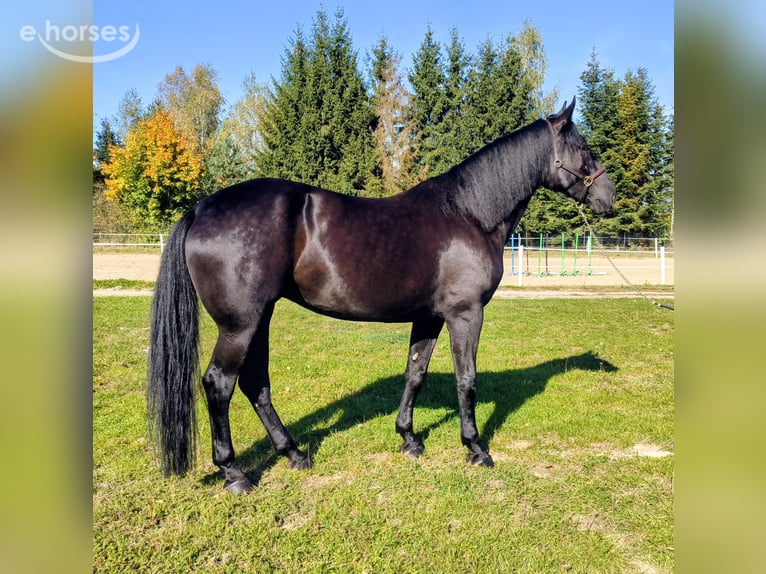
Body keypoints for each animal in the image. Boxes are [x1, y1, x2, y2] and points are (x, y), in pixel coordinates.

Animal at [147, 98, 615, 494]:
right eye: (582, 147)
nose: (608, 196)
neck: (468, 213)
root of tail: (202, 207)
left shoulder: (429, 317)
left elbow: (415, 373)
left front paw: (409, 439)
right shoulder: (465, 314)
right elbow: (466, 380)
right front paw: (476, 449)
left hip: (259, 319)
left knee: (255, 383)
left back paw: (294, 454)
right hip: (240, 325)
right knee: (219, 384)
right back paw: (235, 473)